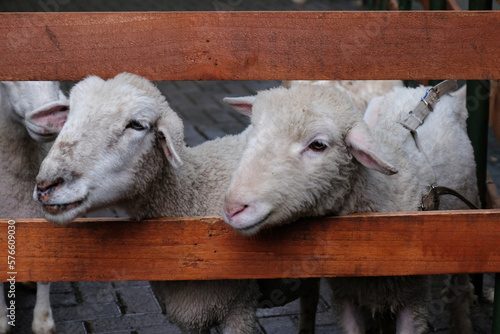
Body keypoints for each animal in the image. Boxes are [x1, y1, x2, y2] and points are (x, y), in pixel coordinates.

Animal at [222, 82, 476, 332]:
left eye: (318, 145)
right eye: (254, 132)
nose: (233, 208)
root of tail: (422, 90)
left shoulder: (414, 297)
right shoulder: (345, 294)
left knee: (460, 292)